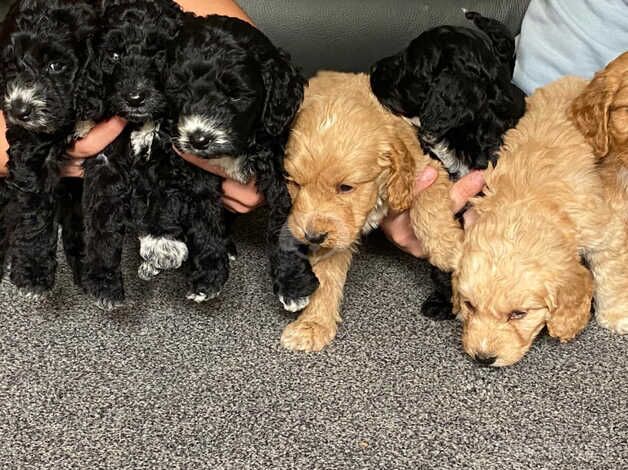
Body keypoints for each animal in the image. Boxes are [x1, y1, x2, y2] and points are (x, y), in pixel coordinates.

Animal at [0, 0, 99, 294]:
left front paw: (85, 260)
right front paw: (33, 271)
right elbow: (34, 209)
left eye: (56, 66)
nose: (19, 111)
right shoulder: (29, 148)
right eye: (10, 66)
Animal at [78, 0, 184, 308]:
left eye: (158, 54)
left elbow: (166, 195)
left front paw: (162, 242)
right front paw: (103, 281)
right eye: (114, 55)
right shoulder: (105, 160)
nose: (135, 98)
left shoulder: (169, 150)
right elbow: (101, 218)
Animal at [143, 12, 318, 308]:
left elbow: (284, 223)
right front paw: (209, 277)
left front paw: (293, 284)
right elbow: (204, 222)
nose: (198, 138)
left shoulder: (280, 171)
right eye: (179, 89)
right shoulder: (193, 170)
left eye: (235, 94)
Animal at [454, 76, 628, 368]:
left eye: (518, 314)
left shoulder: (603, 229)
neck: (526, 204)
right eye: (470, 306)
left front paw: (616, 315)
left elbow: (612, 271)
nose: (483, 358)